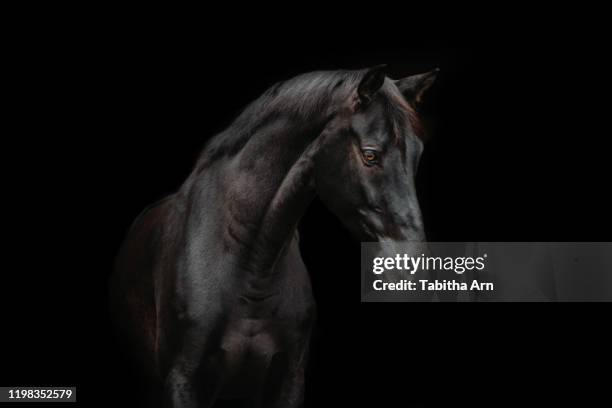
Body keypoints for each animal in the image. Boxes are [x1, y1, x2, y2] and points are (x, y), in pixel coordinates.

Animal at [110, 65, 436, 406]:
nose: (415, 268)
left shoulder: (289, 380)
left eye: (417, 155)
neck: (251, 268)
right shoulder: (182, 381)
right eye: (370, 155)